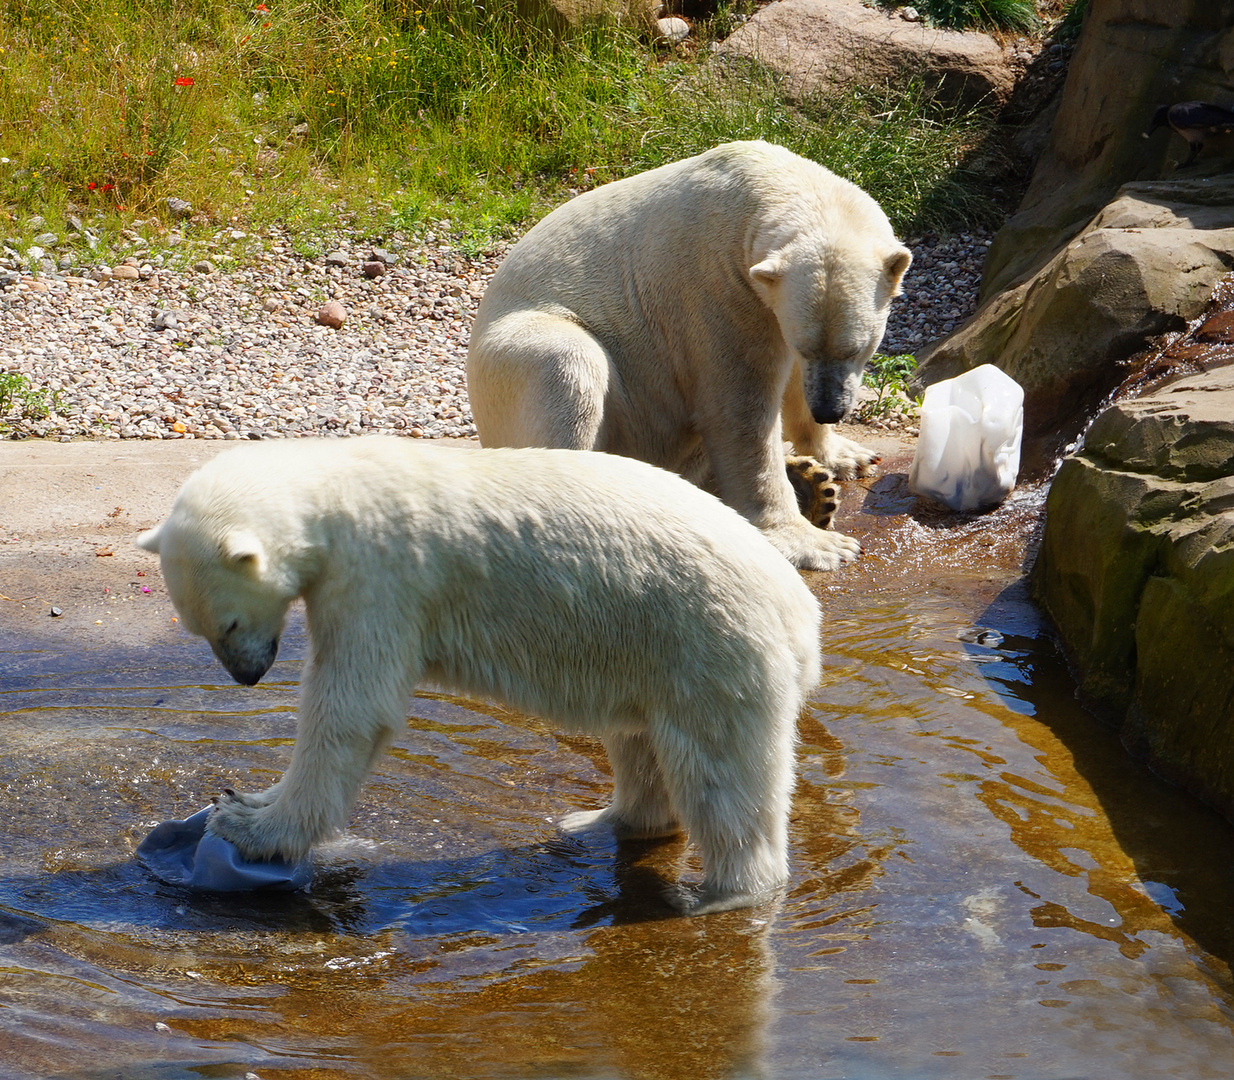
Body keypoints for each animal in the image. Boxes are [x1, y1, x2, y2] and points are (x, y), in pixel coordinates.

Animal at [137, 436, 819, 913]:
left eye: (226, 623)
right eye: (198, 628)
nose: (247, 677)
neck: (339, 489)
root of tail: (800, 614)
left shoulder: (380, 576)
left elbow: (353, 708)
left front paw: (251, 823)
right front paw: (240, 801)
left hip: (708, 644)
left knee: (719, 773)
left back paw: (723, 892)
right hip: (649, 651)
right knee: (638, 740)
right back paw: (597, 821)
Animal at [466, 141, 913, 575]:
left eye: (855, 348)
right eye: (808, 346)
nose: (830, 410)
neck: (760, 186)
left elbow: (790, 386)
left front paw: (845, 456)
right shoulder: (716, 288)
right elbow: (739, 411)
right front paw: (817, 545)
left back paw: (812, 486)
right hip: (518, 366)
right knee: (567, 364)